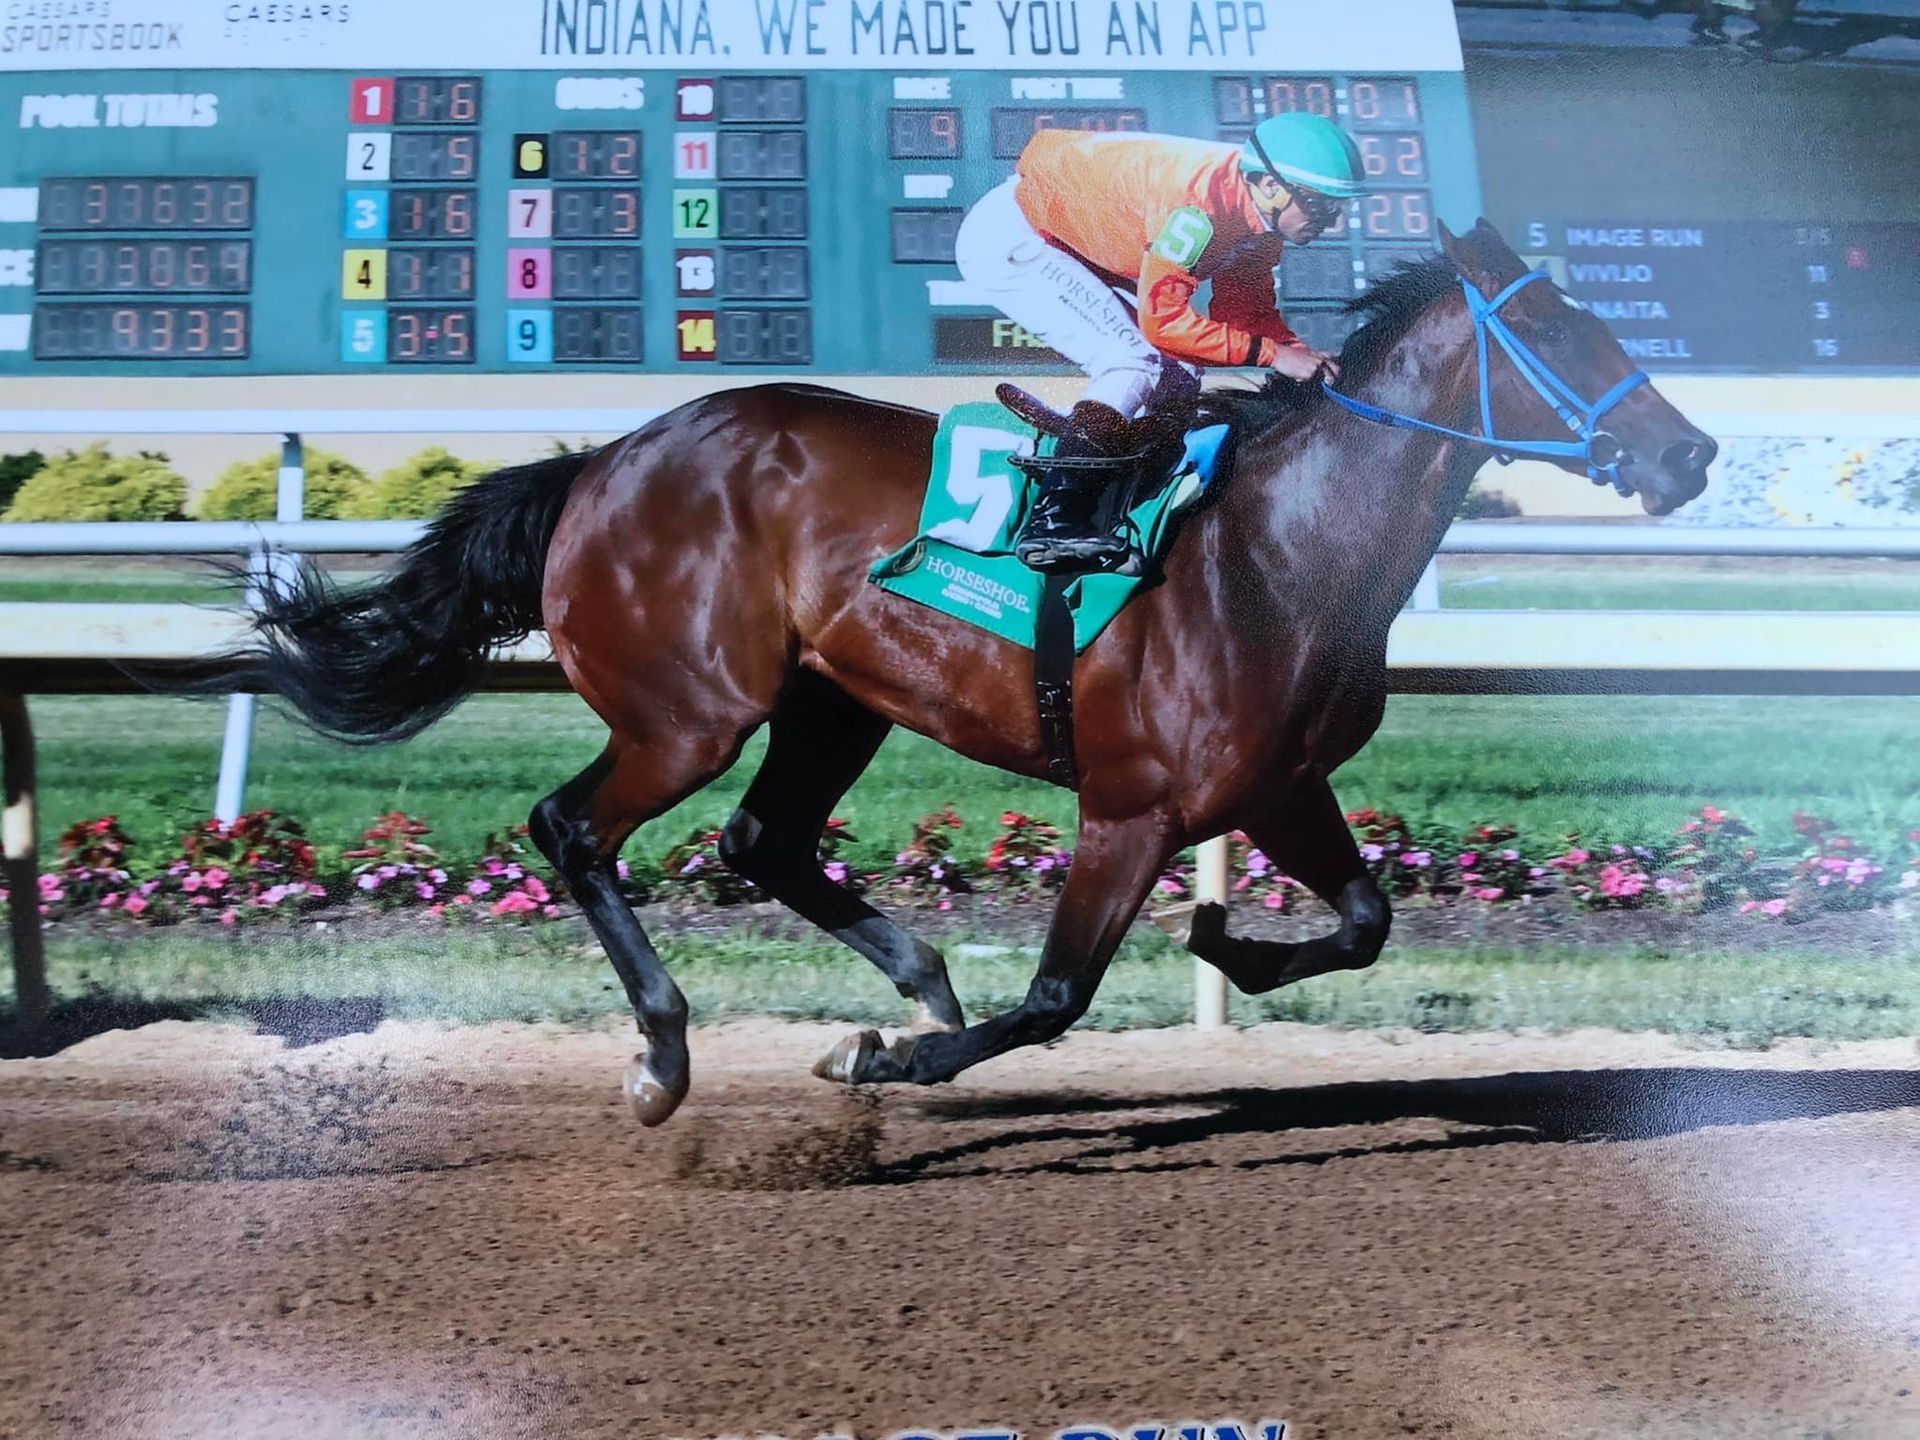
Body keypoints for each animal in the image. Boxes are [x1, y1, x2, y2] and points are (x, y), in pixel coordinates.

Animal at [219, 220, 1715, 1126]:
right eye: (1562, 334)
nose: (1689, 454)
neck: (1283, 551)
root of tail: (603, 462)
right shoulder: (1133, 805)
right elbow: (1056, 998)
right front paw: (907, 1060)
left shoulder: (1281, 785)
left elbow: (1366, 921)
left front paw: (1223, 940)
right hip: (691, 711)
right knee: (573, 825)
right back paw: (668, 1048)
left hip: (830, 699)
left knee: (764, 841)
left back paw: (914, 979)